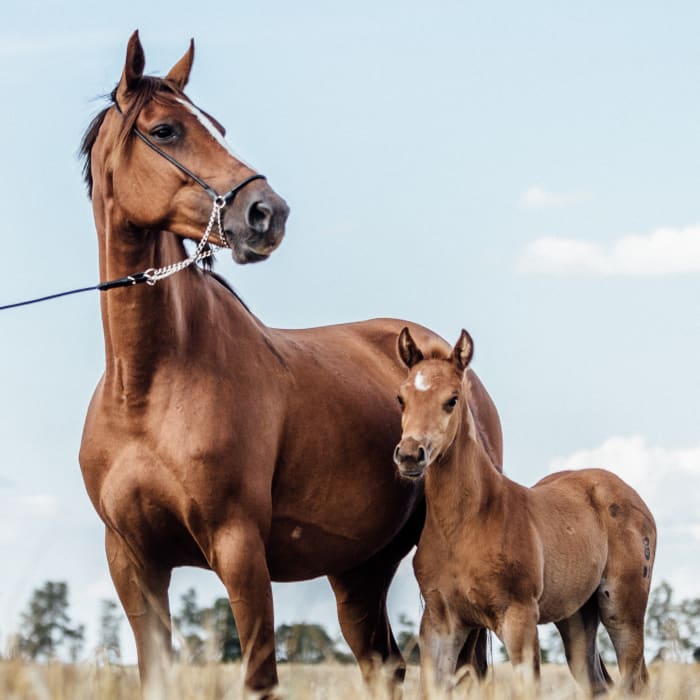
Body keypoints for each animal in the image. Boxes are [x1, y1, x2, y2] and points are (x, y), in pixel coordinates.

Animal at [78, 31, 504, 696]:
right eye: (166, 130)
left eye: (217, 126)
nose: (265, 213)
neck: (148, 388)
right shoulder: (133, 561)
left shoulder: (239, 548)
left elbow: (259, 675)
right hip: (358, 572)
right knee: (384, 663)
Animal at [394, 328, 656, 696]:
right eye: (401, 398)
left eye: (453, 399)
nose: (409, 455)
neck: (466, 523)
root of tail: (625, 490)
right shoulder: (439, 622)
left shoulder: (519, 617)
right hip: (576, 615)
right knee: (597, 682)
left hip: (622, 606)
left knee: (636, 680)